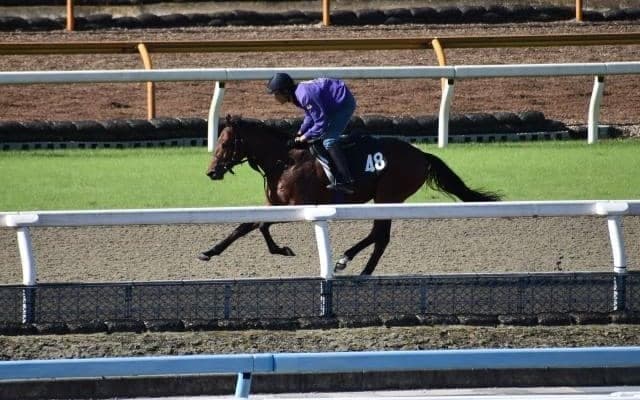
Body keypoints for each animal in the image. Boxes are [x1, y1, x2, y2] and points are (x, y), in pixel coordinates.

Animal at [200, 115, 502, 275]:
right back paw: (353, 263)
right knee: (379, 235)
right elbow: (245, 226)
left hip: (388, 195)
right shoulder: (274, 204)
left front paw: (282, 249)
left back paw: (354, 265)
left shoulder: (302, 205)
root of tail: (421, 154)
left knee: (381, 236)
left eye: (225, 143)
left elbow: (261, 225)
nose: (211, 171)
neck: (284, 160)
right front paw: (209, 251)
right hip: (386, 199)